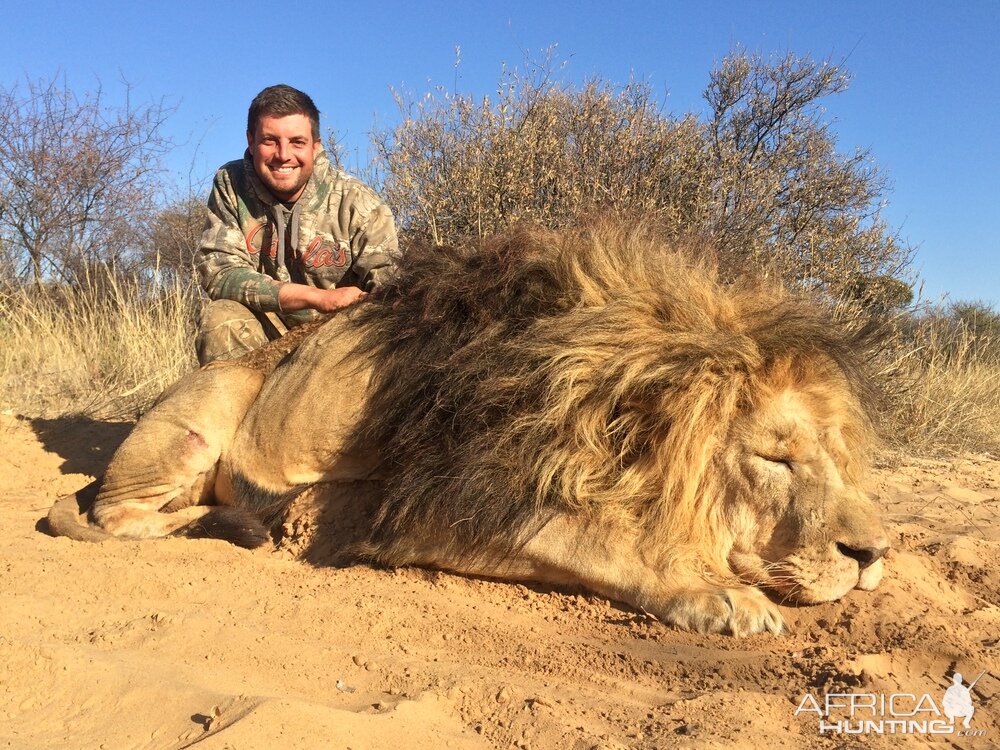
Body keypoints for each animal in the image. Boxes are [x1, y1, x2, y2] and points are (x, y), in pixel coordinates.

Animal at [47, 220, 892, 636]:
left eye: (837, 458)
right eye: (775, 460)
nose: (873, 554)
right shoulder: (419, 504)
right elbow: (588, 536)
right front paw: (716, 592)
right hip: (197, 419)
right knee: (115, 515)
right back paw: (233, 522)